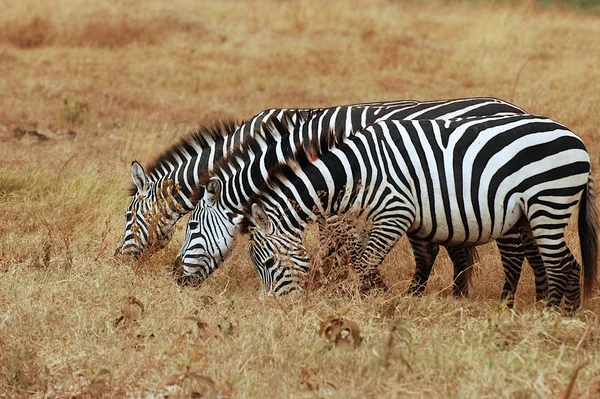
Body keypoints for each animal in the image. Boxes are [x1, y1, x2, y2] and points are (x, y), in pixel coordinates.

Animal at [241, 112, 596, 312]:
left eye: (268, 263)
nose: (272, 307)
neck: (355, 172)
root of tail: (577, 139)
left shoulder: (395, 212)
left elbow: (364, 261)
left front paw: (364, 301)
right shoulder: (359, 219)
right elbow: (359, 257)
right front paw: (377, 296)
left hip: (548, 203)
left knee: (560, 263)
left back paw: (551, 315)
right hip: (533, 213)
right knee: (563, 263)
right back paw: (564, 314)